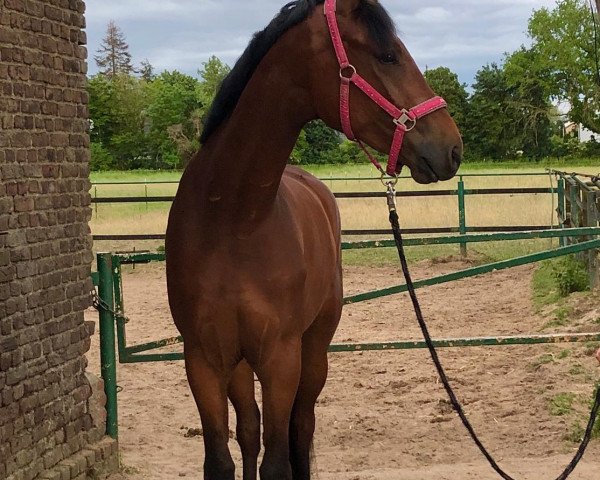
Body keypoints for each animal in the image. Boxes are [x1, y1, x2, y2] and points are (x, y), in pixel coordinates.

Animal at [166, 0, 462, 480]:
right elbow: (221, 459)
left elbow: (278, 461)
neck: (232, 221)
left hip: (314, 349)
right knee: (250, 429)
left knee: (301, 426)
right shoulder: (203, 361)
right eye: (388, 56)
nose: (452, 147)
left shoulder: (281, 359)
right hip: (240, 364)